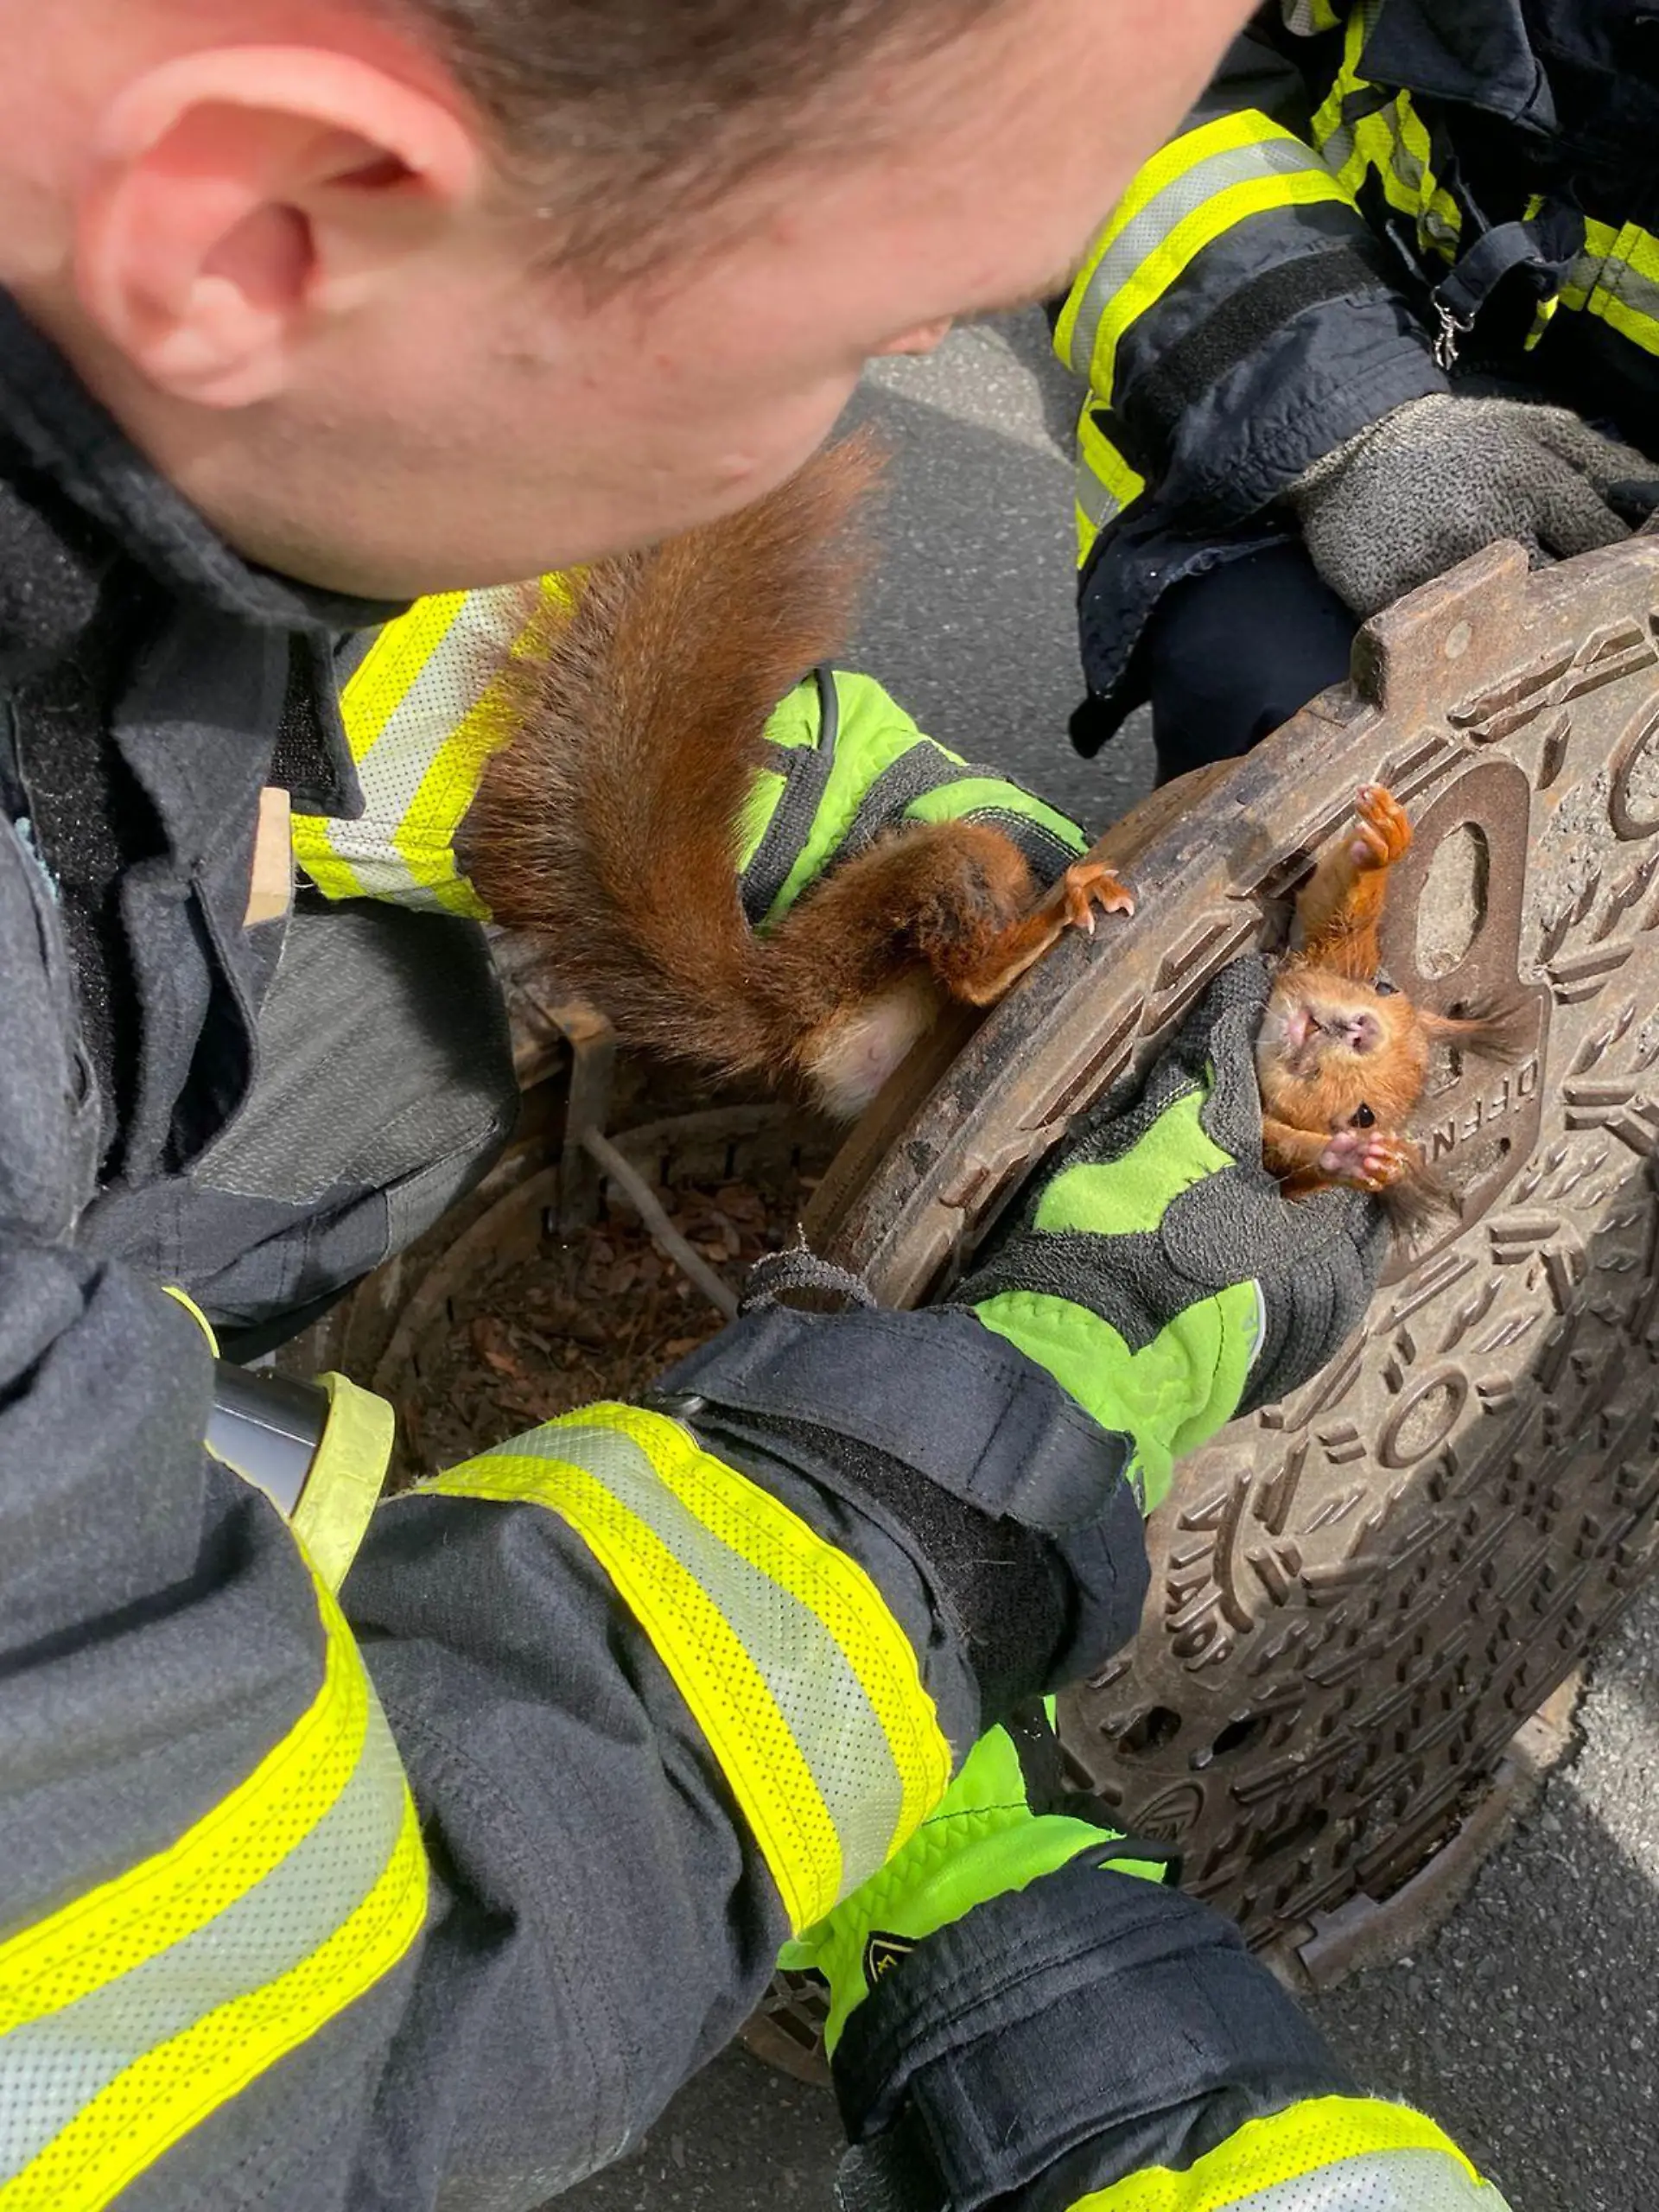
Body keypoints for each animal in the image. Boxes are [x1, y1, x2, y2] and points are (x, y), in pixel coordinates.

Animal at [1258, 783, 1523, 1207]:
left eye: (1364, 1117)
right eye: (1384, 986)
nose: (1362, 1031)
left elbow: (1281, 1161)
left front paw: (1350, 1160)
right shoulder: (1326, 953)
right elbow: (1329, 909)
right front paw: (1385, 842)